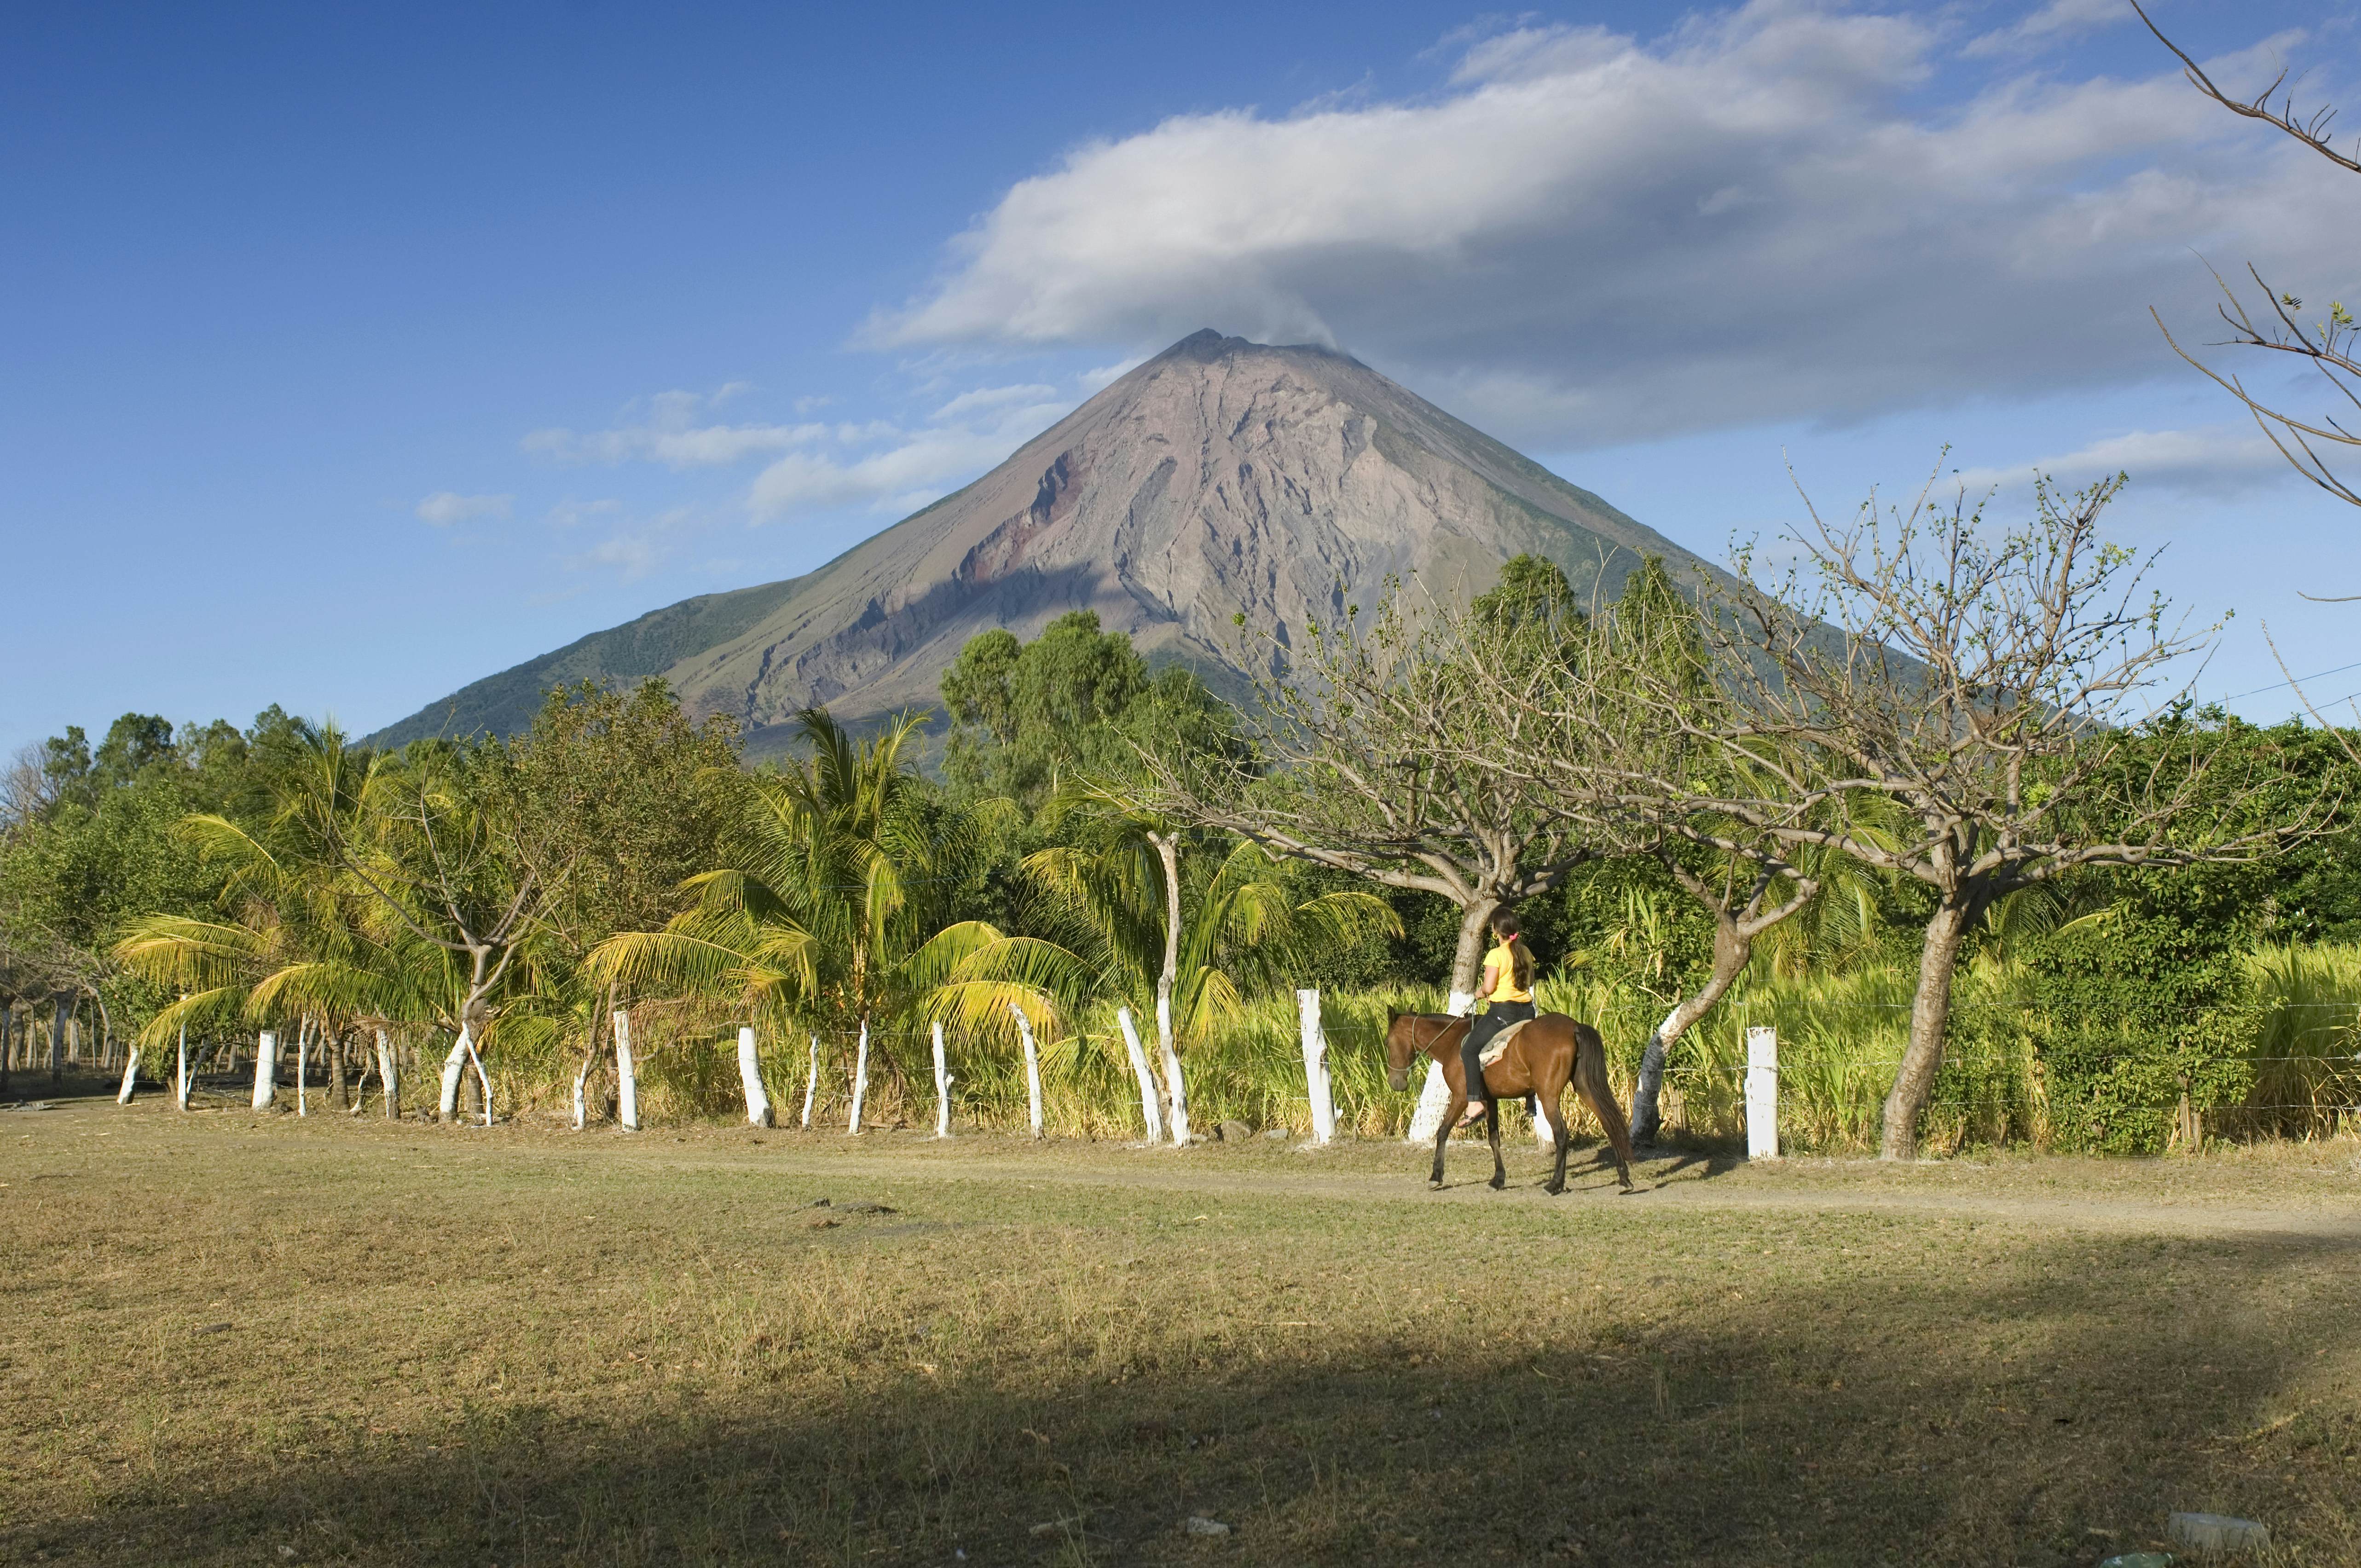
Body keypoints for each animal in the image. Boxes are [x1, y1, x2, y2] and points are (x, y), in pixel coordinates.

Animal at [1388, 1011, 1633, 1195]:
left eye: (1388, 1043)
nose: (1395, 1082)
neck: (1453, 1042)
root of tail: (1573, 1027)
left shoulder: (1460, 1097)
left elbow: (1442, 1132)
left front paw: (1436, 1176)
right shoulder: (1491, 1100)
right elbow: (1494, 1139)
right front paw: (1498, 1179)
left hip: (1548, 1096)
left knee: (1562, 1134)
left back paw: (1555, 1184)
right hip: (1585, 1087)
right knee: (1609, 1123)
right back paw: (1624, 1178)